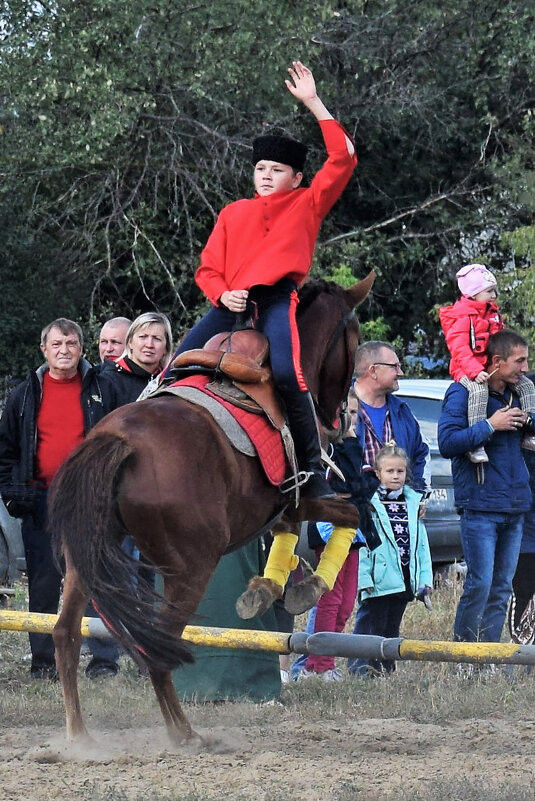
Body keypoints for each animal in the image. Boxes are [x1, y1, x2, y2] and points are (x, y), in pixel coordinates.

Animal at [49, 274, 372, 744]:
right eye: (356, 339)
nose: (341, 418)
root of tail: (119, 441)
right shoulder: (306, 493)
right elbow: (353, 515)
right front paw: (307, 586)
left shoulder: (281, 506)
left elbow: (289, 535)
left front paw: (269, 587)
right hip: (190, 568)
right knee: (158, 647)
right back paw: (184, 734)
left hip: (84, 559)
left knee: (66, 634)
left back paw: (79, 738)